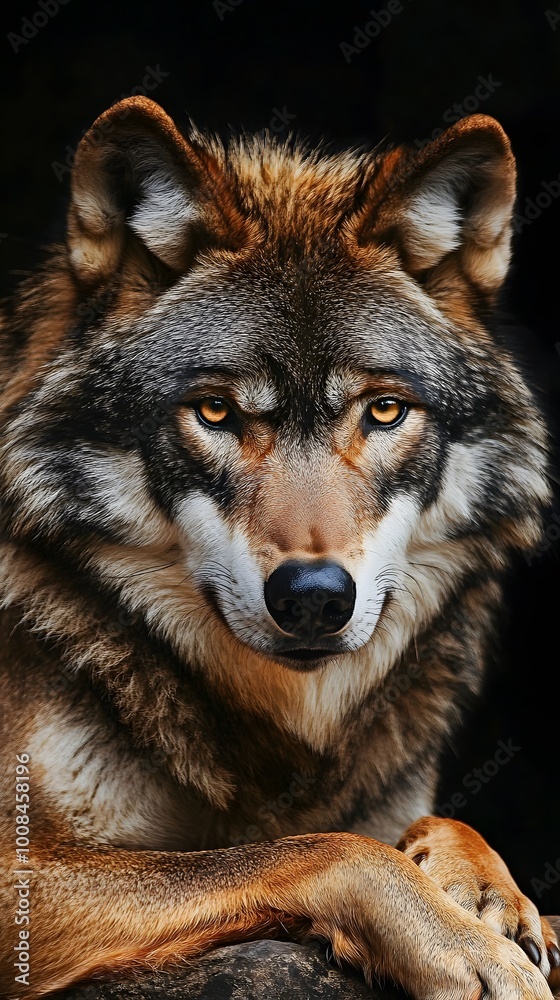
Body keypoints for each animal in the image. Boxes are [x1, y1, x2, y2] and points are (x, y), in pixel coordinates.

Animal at [0, 95, 558, 1000]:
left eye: (384, 411)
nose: (314, 597)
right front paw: (465, 946)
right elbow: (319, 850)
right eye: (217, 412)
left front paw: (490, 897)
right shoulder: (22, 863)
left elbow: (434, 820)